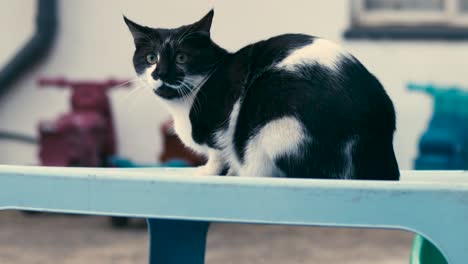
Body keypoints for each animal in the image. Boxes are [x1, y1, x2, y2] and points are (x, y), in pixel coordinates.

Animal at [123, 9, 398, 179]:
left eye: (181, 57)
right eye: (151, 58)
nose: (161, 73)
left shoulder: (221, 122)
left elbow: (218, 152)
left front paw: (210, 170)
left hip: (276, 117)